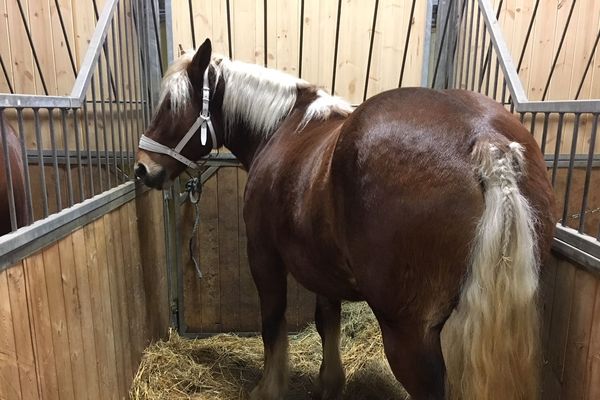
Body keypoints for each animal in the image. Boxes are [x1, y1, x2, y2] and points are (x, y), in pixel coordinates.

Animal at [135, 38, 552, 400]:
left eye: (171, 105)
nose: (142, 169)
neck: (283, 127)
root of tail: (486, 142)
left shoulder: (264, 256)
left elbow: (272, 322)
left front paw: (268, 388)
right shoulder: (322, 267)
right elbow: (327, 321)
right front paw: (329, 383)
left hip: (409, 334)